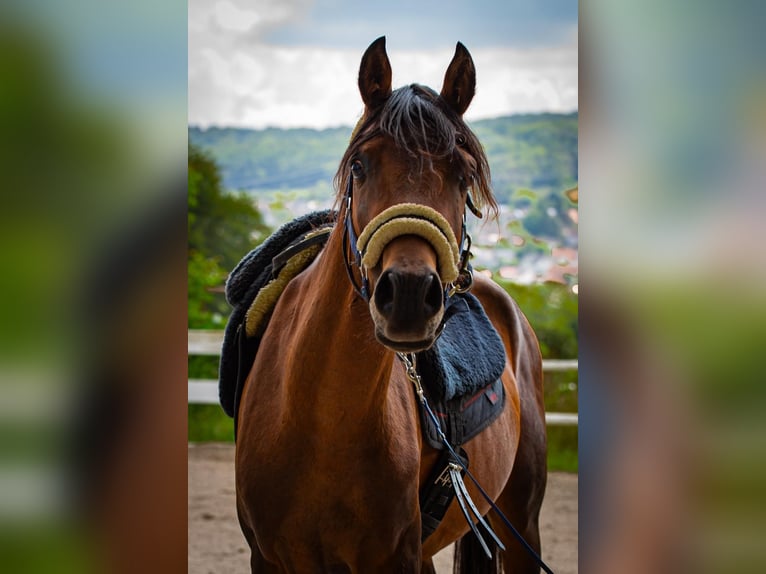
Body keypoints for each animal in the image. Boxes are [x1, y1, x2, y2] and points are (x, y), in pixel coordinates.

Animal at [237, 37, 548, 574]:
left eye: (463, 175)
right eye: (359, 166)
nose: (407, 294)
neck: (321, 423)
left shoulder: (397, 557)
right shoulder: (268, 559)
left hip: (521, 523)